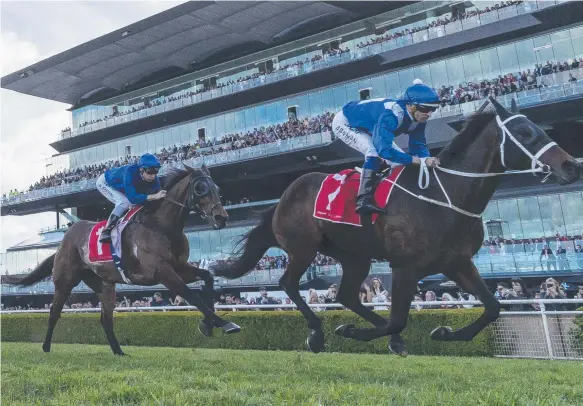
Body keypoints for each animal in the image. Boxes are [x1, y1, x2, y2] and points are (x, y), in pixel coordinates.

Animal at [3, 163, 241, 354]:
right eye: (200, 188)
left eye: (217, 188)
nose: (221, 218)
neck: (160, 226)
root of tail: (64, 240)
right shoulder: (162, 271)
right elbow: (191, 296)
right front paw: (226, 324)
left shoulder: (180, 267)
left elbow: (207, 279)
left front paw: (208, 325)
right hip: (65, 280)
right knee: (54, 312)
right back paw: (46, 347)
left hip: (105, 285)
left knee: (105, 319)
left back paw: (119, 352)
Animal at [212, 98, 580, 356]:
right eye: (525, 133)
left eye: (539, 128)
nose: (571, 165)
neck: (443, 196)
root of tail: (285, 195)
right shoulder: (405, 266)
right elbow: (400, 316)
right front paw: (351, 332)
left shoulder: (457, 263)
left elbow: (492, 307)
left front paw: (443, 333)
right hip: (303, 248)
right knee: (288, 283)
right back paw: (317, 333)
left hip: (354, 256)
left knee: (346, 295)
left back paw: (388, 338)